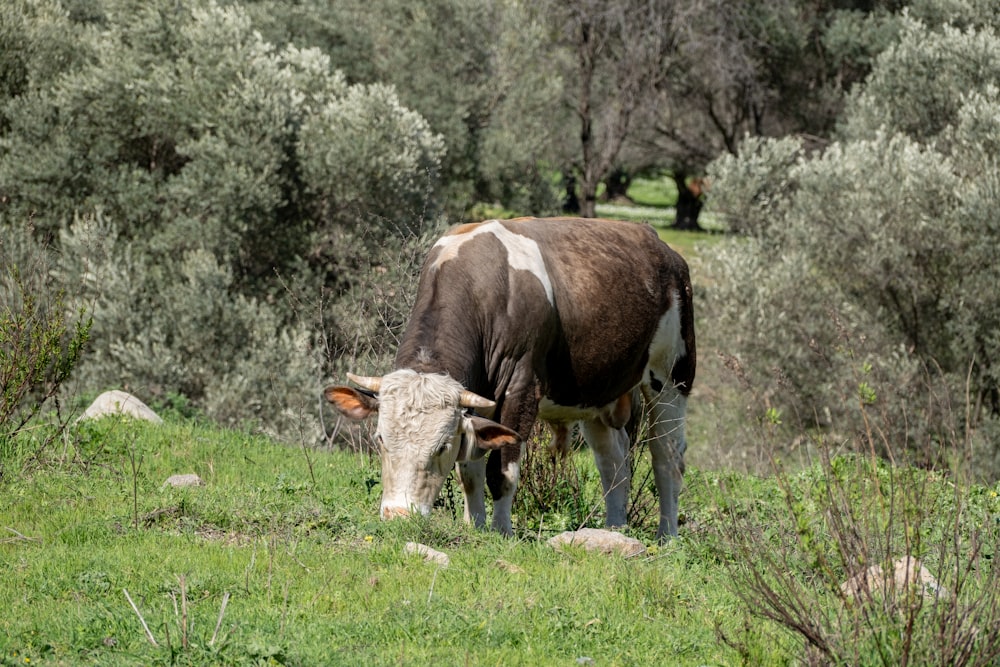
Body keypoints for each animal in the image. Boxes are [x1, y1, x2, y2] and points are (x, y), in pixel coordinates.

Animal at [326, 217, 696, 540]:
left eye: (441, 446)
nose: (400, 514)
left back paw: (667, 537)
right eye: (380, 439)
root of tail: (660, 246)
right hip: (597, 393)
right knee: (614, 461)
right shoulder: (475, 404)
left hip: (671, 376)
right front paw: (474, 527)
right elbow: (469, 472)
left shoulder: (521, 389)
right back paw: (614, 529)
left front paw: (502, 531)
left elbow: (500, 471)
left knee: (667, 458)